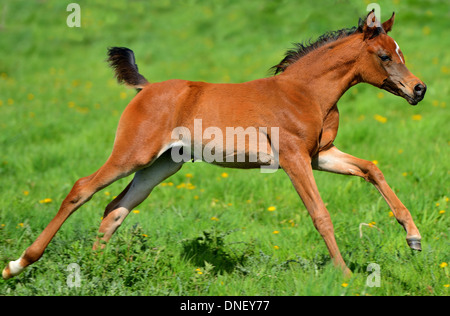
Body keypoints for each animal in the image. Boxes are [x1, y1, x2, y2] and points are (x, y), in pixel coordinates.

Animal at [2, 11, 426, 278]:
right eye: (385, 55)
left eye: (401, 53)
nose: (419, 89)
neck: (305, 92)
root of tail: (145, 87)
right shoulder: (293, 159)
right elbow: (320, 215)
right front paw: (345, 275)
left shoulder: (320, 155)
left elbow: (372, 168)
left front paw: (414, 237)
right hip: (132, 154)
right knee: (82, 190)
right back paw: (18, 265)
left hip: (161, 165)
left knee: (115, 208)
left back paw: (94, 268)